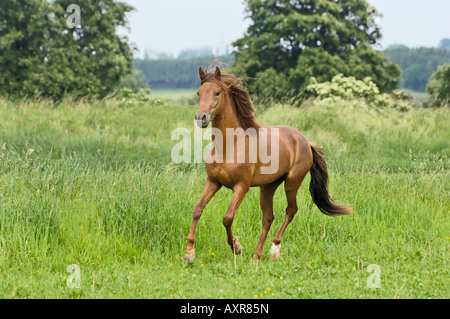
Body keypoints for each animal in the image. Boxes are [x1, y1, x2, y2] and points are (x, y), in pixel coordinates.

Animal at [183, 65, 352, 264]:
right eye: (199, 93)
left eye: (217, 92)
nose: (201, 118)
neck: (230, 145)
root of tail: (305, 140)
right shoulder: (213, 182)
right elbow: (197, 209)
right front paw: (189, 252)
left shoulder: (241, 186)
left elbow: (227, 217)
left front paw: (236, 247)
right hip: (268, 186)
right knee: (268, 218)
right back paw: (256, 256)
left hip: (292, 183)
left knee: (291, 210)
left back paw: (273, 250)